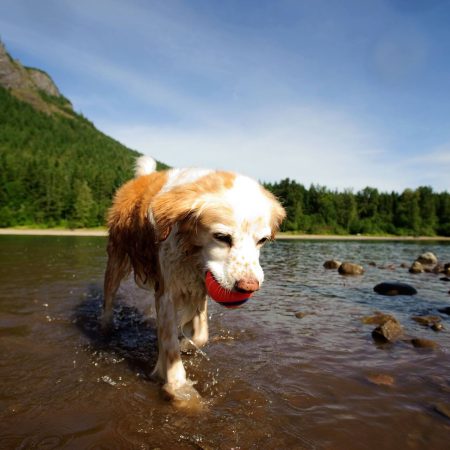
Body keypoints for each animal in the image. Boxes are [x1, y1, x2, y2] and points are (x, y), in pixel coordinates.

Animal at [103, 156, 284, 402]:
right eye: (221, 237)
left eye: (262, 240)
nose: (248, 286)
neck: (192, 252)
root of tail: (140, 178)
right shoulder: (166, 291)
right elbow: (170, 344)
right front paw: (180, 389)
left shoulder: (199, 286)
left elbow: (200, 335)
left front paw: (185, 344)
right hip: (117, 258)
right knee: (108, 298)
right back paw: (105, 328)